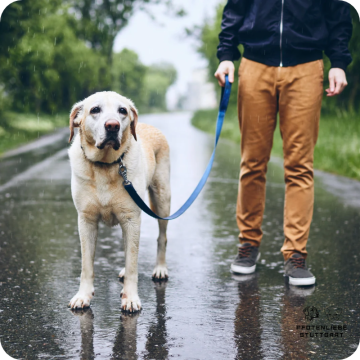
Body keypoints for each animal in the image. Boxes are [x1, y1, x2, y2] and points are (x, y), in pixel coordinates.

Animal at [68, 92, 172, 312]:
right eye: (95, 110)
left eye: (122, 111)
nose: (113, 125)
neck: (105, 166)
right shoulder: (86, 220)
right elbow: (86, 265)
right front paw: (83, 296)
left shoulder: (131, 219)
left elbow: (133, 264)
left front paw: (130, 298)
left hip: (162, 199)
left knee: (161, 237)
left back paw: (160, 268)